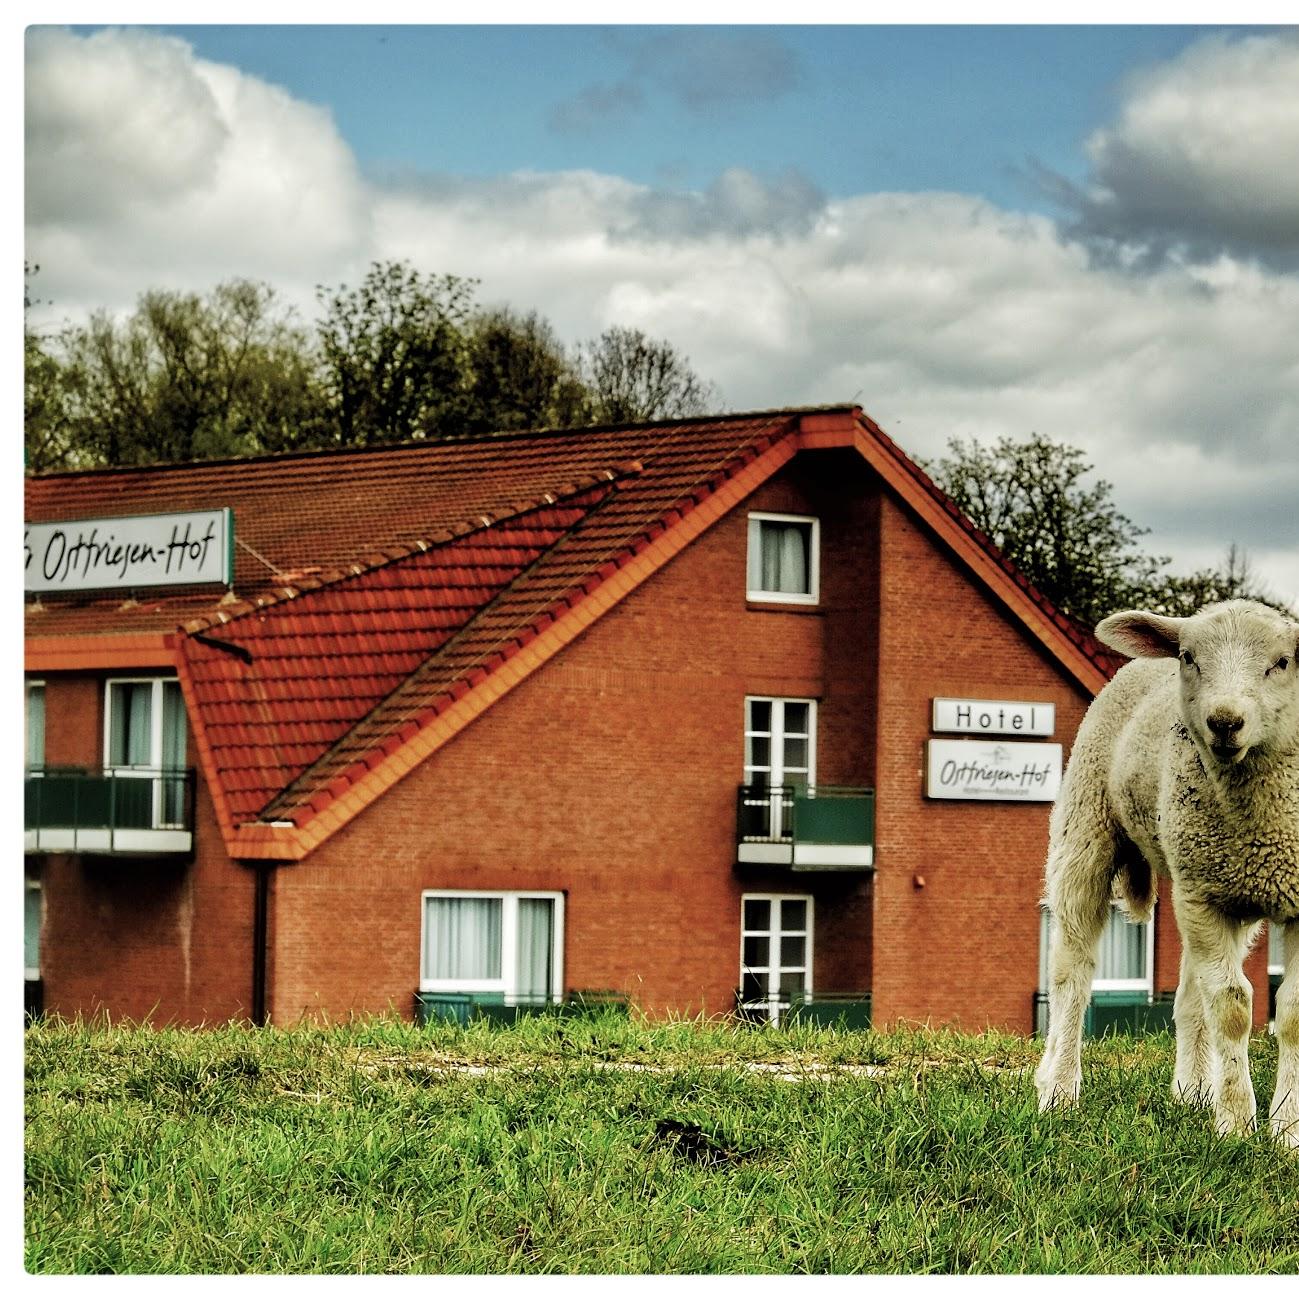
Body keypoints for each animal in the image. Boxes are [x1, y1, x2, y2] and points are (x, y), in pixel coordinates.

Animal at [1028, 594, 1293, 1137]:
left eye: (1282, 663)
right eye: (1190, 658)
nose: (1224, 722)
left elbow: (1290, 1015)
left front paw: (1286, 1134)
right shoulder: (1206, 896)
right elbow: (1233, 1007)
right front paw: (1237, 1126)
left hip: (1205, 877)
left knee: (1191, 993)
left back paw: (1193, 1093)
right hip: (1089, 828)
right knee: (1072, 969)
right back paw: (1058, 1089)